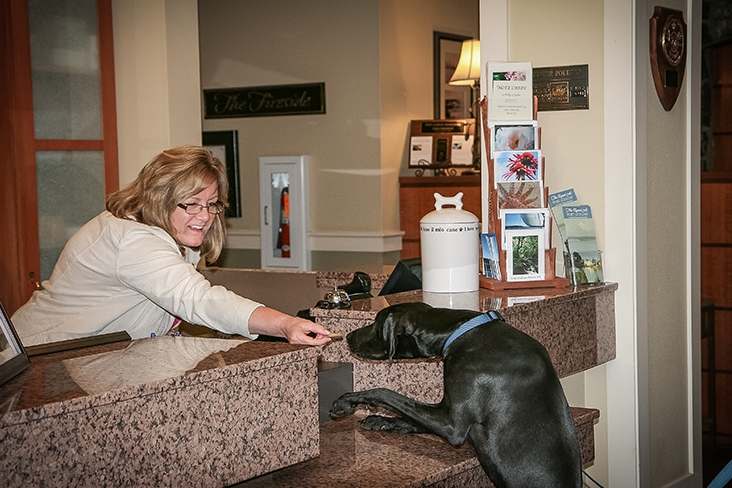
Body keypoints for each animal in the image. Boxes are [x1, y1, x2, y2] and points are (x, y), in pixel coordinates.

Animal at [328, 304, 580, 486]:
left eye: (375, 322)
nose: (347, 336)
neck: (461, 332)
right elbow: (409, 416)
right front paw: (381, 421)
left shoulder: (452, 423)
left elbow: (385, 392)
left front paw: (346, 401)